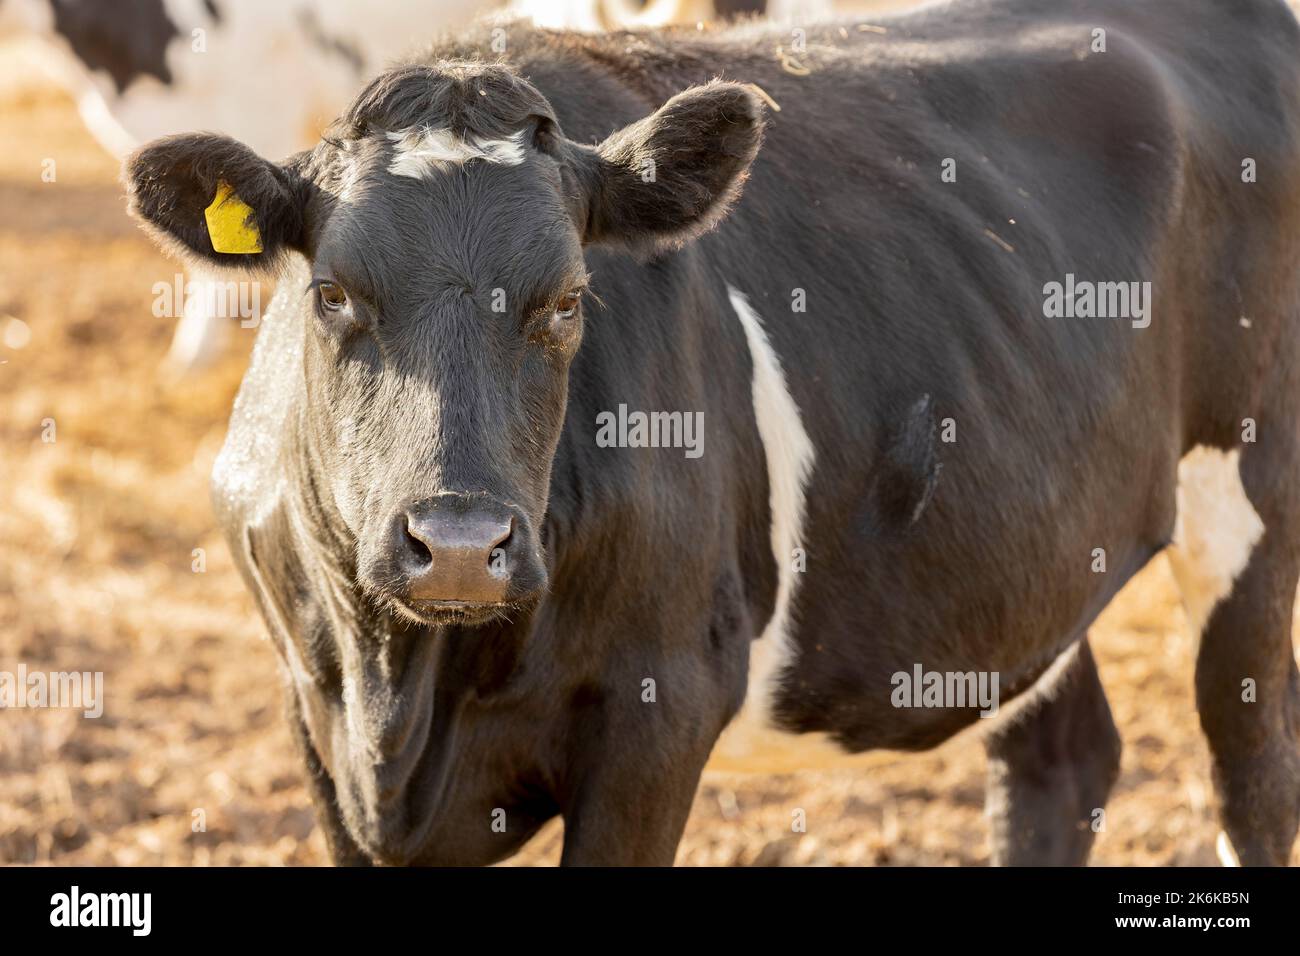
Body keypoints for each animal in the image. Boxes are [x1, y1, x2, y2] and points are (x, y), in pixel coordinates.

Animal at [124, 0, 1300, 866]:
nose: (457, 543)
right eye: (329, 294)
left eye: (567, 300)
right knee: (1060, 756)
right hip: (1023, 552)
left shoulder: (660, 711)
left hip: (1251, 498)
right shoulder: (317, 724)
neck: (404, 690)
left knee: (1251, 774)